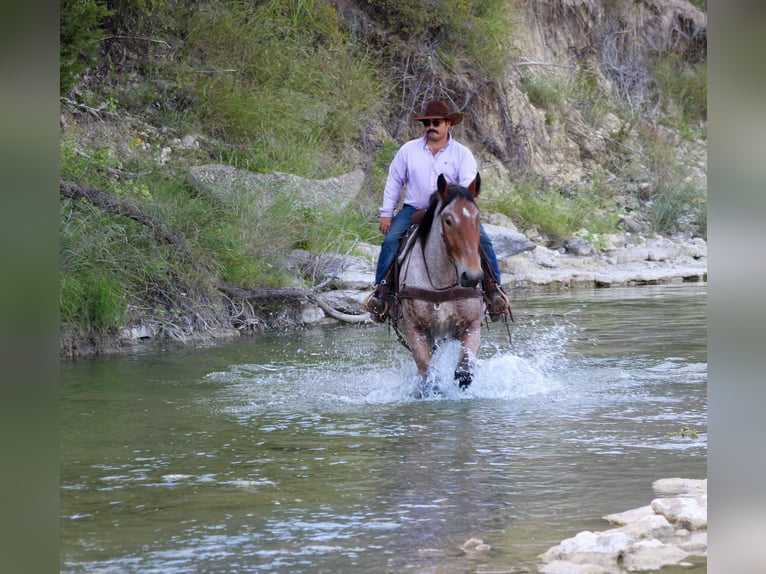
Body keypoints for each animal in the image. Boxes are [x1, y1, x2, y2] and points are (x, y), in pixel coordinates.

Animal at [391, 173, 485, 396]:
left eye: (477, 218)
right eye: (448, 220)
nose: (472, 276)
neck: (441, 282)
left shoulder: (471, 326)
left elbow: (464, 373)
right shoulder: (415, 329)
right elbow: (427, 376)